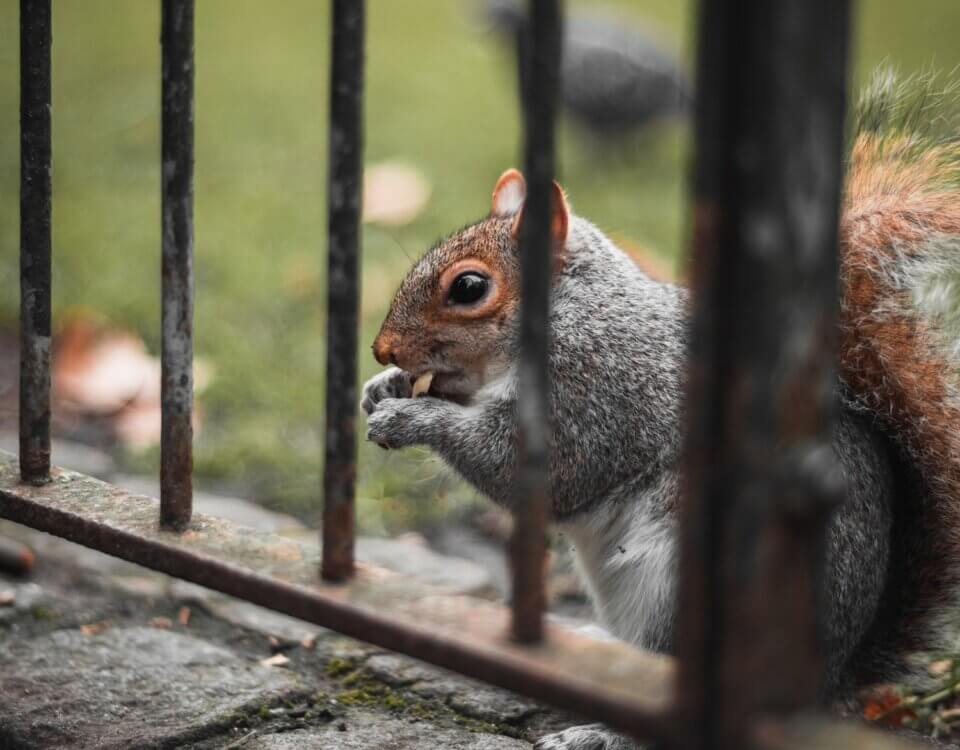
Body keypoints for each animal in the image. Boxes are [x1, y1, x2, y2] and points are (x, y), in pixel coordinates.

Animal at [360, 72, 960, 750]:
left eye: (468, 287)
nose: (383, 348)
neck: (572, 312)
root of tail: (826, 681)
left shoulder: (598, 390)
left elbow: (529, 469)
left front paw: (410, 420)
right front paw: (382, 387)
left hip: (682, 593)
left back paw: (600, 729)